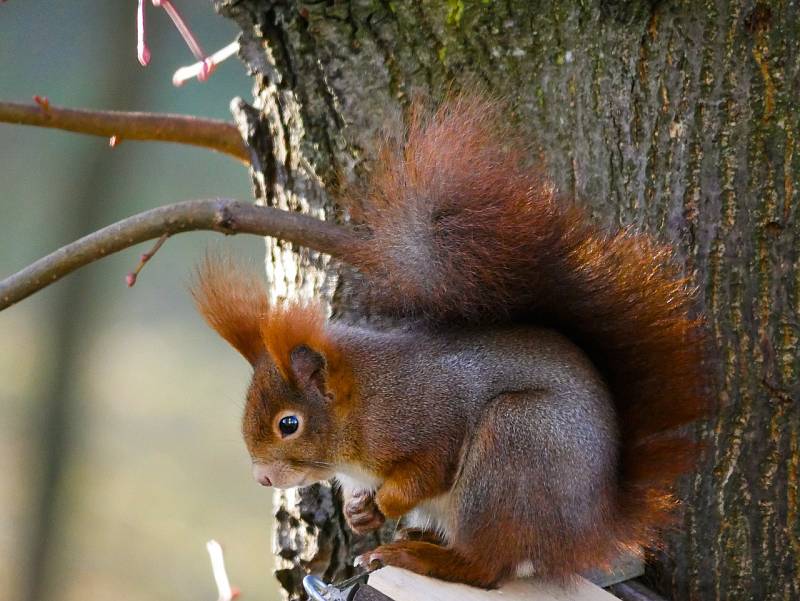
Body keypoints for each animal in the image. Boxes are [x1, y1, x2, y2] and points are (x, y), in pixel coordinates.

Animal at [192, 97, 708, 584]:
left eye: (289, 424)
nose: (262, 477)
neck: (364, 400)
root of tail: (592, 528)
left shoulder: (431, 421)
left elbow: (426, 471)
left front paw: (382, 504)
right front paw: (359, 509)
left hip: (514, 449)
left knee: (485, 567)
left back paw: (414, 555)